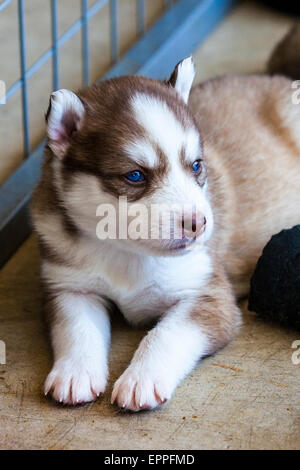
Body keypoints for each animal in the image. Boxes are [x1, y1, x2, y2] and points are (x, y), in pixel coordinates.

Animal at [32, 27, 300, 410]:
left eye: (197, 165)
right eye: (135, 175)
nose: (199, 223)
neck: (128, 254)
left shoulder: (208, 294)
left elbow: (166, 334)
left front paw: (141, 379)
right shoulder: (68, 285)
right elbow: (76, 327)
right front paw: (74, 373)